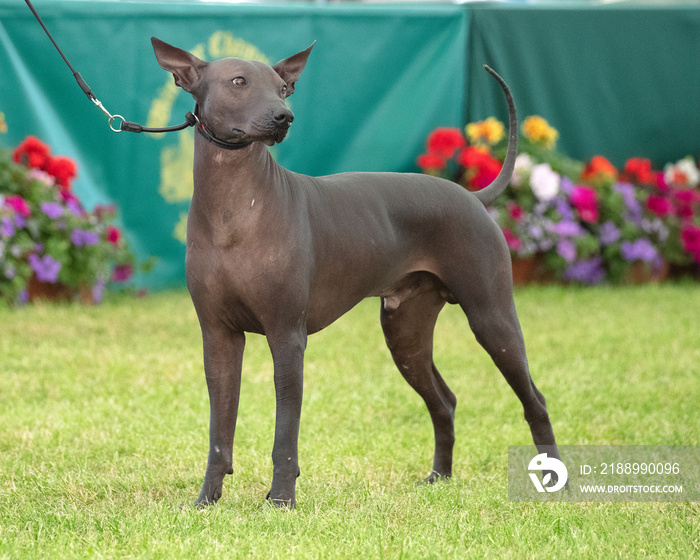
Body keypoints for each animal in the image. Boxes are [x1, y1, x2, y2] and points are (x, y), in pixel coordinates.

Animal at [152, 38, 564, 508]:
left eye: (282, 88)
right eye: (239, 82)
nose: (284, 116)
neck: (233, 205)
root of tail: (472, 196)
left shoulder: (286, 337)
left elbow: (284, 435)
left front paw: (281, 500)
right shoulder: (218, 339)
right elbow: (219, 432)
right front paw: (207, 499)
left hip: (491, 318)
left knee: (535, 400)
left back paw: (553, 481)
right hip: (405, 334)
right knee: (444, 401)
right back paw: (439, 477)